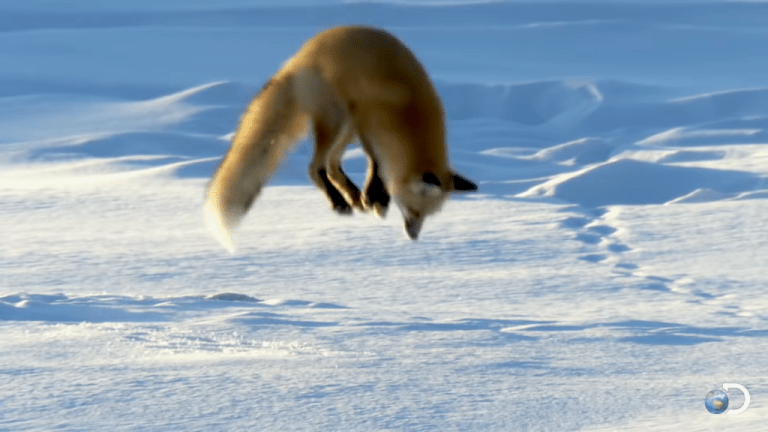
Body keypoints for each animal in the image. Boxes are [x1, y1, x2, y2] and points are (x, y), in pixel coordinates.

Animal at [206, 26, 480, 250]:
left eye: (427, 216)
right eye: (413, 210)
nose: (413, 237)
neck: (410, 113)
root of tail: (297, 59)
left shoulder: (370, 128)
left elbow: (378, 165)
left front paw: (374, 197)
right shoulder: (368, 122)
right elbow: (376, 163)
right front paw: (377, 197)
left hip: (346, 128)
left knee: (331, 165)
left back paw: (353, 196)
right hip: (338, 120)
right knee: (315, 167)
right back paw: (339, 202)